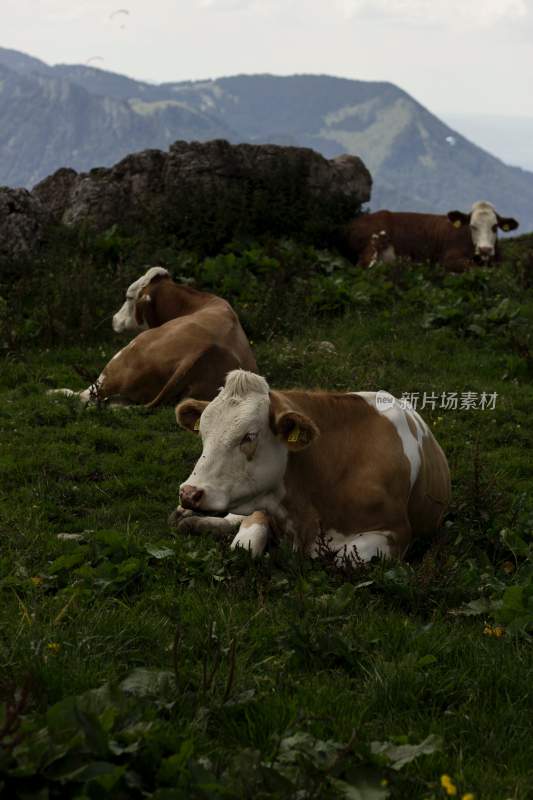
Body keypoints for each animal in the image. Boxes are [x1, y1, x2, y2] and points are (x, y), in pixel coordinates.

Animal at [48, 268, 256, 406]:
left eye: (128, 297)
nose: (114, 318)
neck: (197, 302)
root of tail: (202, 350)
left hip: (123, 355)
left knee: (89, 394)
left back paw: (57, 391)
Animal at [171, 368, 448, 564]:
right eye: (203, 432)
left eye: (249, 436)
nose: (189, 493)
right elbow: (244, 545)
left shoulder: (396, 533)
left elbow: (341, 557)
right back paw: (187, 518)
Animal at [342, 202, 516, 274]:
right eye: (472, 226)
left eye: (495, 227)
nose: (485, 249)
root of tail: (352, 223)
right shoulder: (448, 259)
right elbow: (470, 267)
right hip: (371, 246)